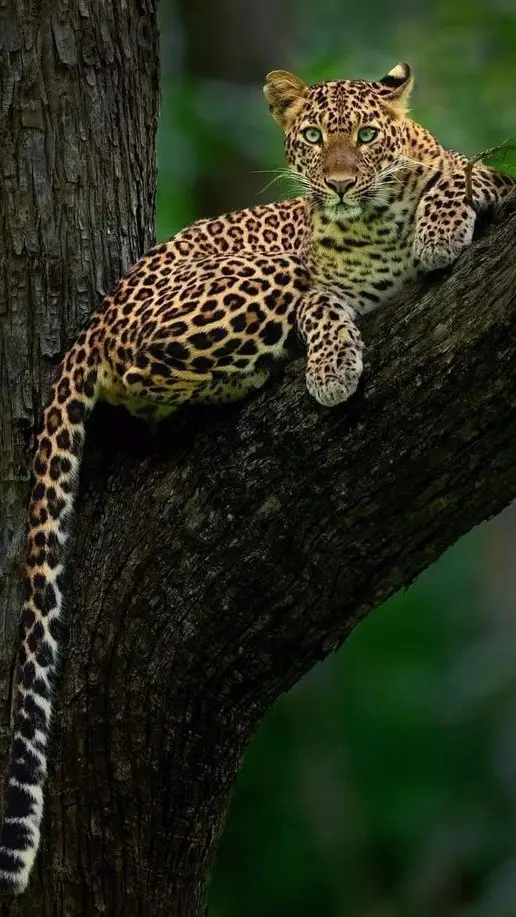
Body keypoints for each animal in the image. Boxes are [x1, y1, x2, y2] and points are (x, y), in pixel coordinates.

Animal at [0, 61, 514, 896]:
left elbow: (462, 174)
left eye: (366, 134)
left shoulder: (479, 180)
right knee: (162, 366)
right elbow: (325, 301)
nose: (338, 184)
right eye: (311, 135)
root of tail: (95, 317)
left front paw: (439, 224)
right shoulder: (319, 267)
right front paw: (333, 366)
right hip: (238, 284)